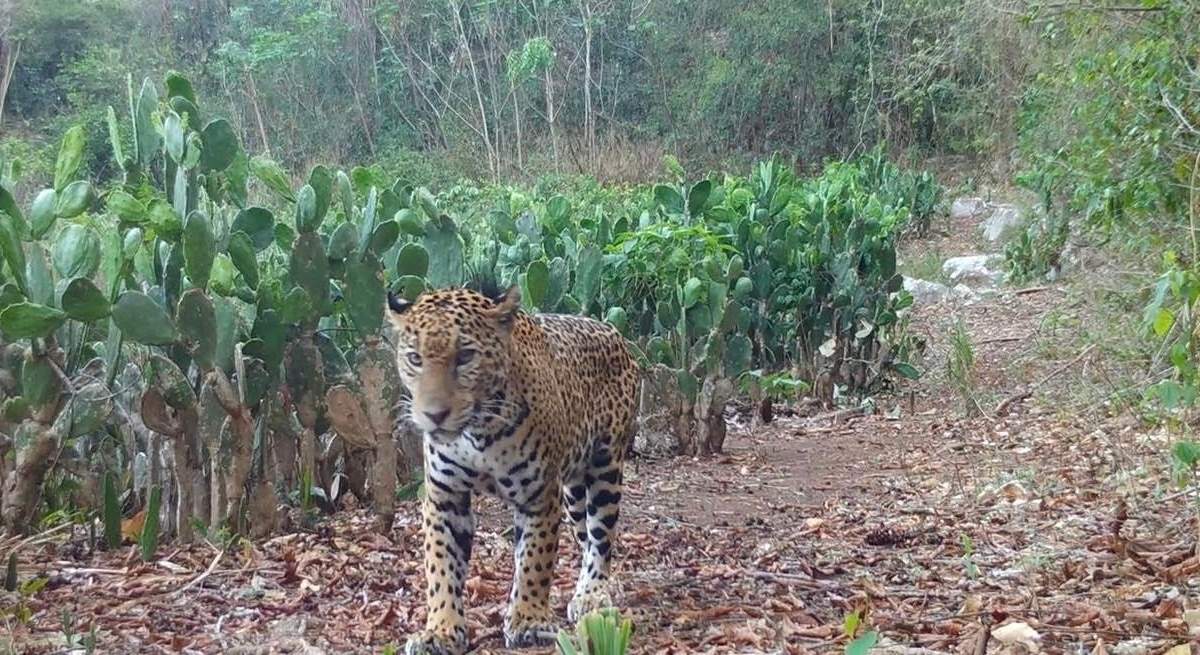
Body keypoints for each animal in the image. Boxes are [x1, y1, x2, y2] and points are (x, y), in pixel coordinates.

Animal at [386, 285, 640, 655]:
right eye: (415, 358)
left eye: (465, 356)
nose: (434, 415)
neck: (477, 433)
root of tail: (612, 330)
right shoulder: (444, 498)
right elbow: (441, 567)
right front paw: (441, 630)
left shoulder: (540, 497)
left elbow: (535, 561)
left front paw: (528, 620)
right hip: (573, 493)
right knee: (585, 537)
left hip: (604, 470)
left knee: (601, 538)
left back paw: (592, 596)